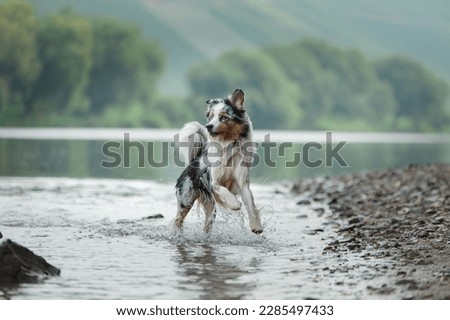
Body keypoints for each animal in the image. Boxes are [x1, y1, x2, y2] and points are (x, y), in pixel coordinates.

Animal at [173, 89, 264, 234]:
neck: (227, 145)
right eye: (210, 117)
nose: (208, 126)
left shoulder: (243, 183)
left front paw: (256, 226)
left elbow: (251, 204)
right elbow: (224, 190)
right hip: (185, 200)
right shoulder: (213, 182)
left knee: (207, 224)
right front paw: (235, 204)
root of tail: (193, 161)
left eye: (223, 117)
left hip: (211, 208)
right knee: (178, 220)